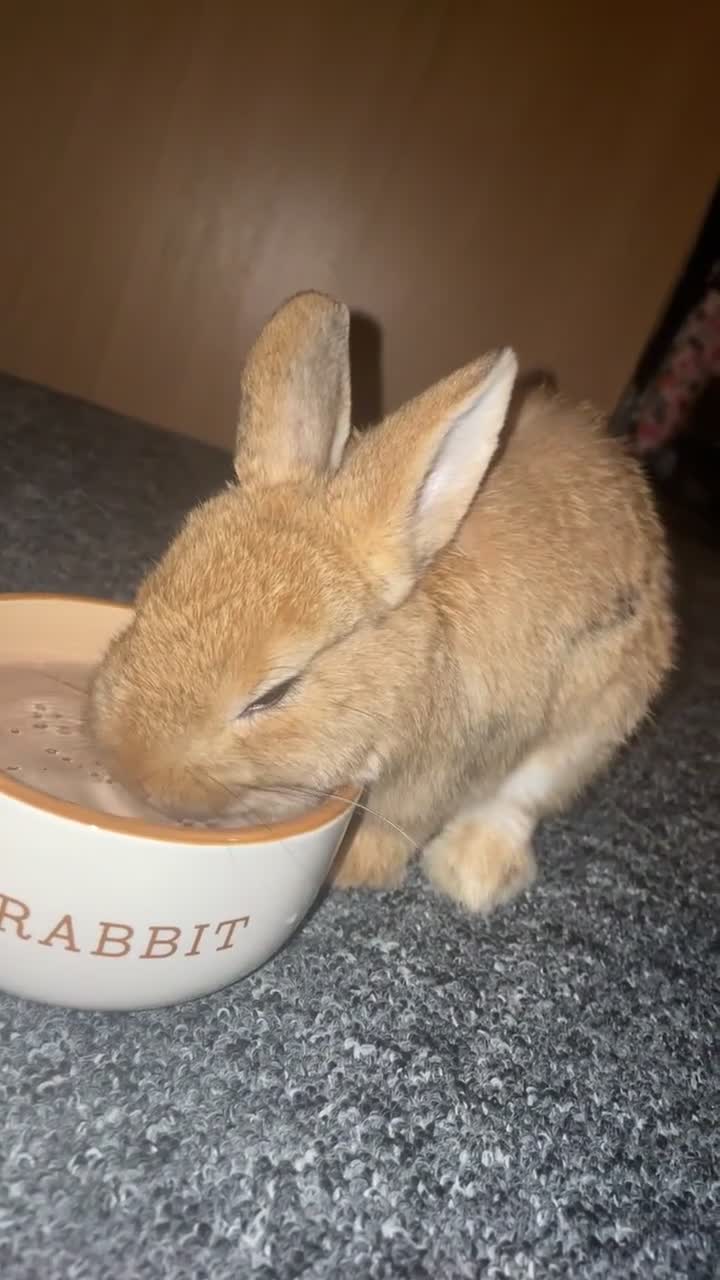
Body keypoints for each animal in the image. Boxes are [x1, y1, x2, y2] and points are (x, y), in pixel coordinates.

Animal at [89, 290, 675, 914]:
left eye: (274, 694)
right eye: (147, 603)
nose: (133, 771)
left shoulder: (438, 773)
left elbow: (399, 826)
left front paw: (353, 870)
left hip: (591, 727)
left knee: (518, 802)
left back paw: (472, 875)